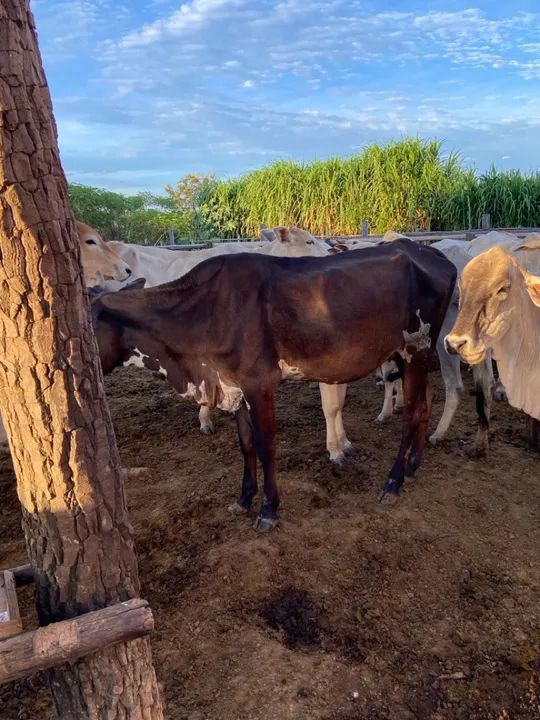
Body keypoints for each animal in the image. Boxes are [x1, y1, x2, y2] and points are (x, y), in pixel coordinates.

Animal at [89, 239, 456, 532]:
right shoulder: (233, 386)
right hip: (413, 355)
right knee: (426, 401)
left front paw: (268, 509)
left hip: (415, 349)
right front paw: (243, 498)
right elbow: (246, 444)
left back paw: (393, 482)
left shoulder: (259, 384)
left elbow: (267, 447)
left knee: (413, 411)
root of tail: (429, 251)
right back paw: (412, 466)